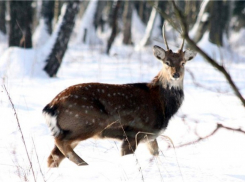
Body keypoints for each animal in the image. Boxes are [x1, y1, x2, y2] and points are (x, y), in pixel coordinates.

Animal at [42, 27, 195, 168]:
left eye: (183, 62)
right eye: (166, 62)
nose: (175, 75)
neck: (162, 105)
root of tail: (51, 106)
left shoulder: (150, 136)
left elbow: (157, 154)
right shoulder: (134, 132)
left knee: (53, 157)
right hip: (88, 122)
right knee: (60, 143)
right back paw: (85, 164)